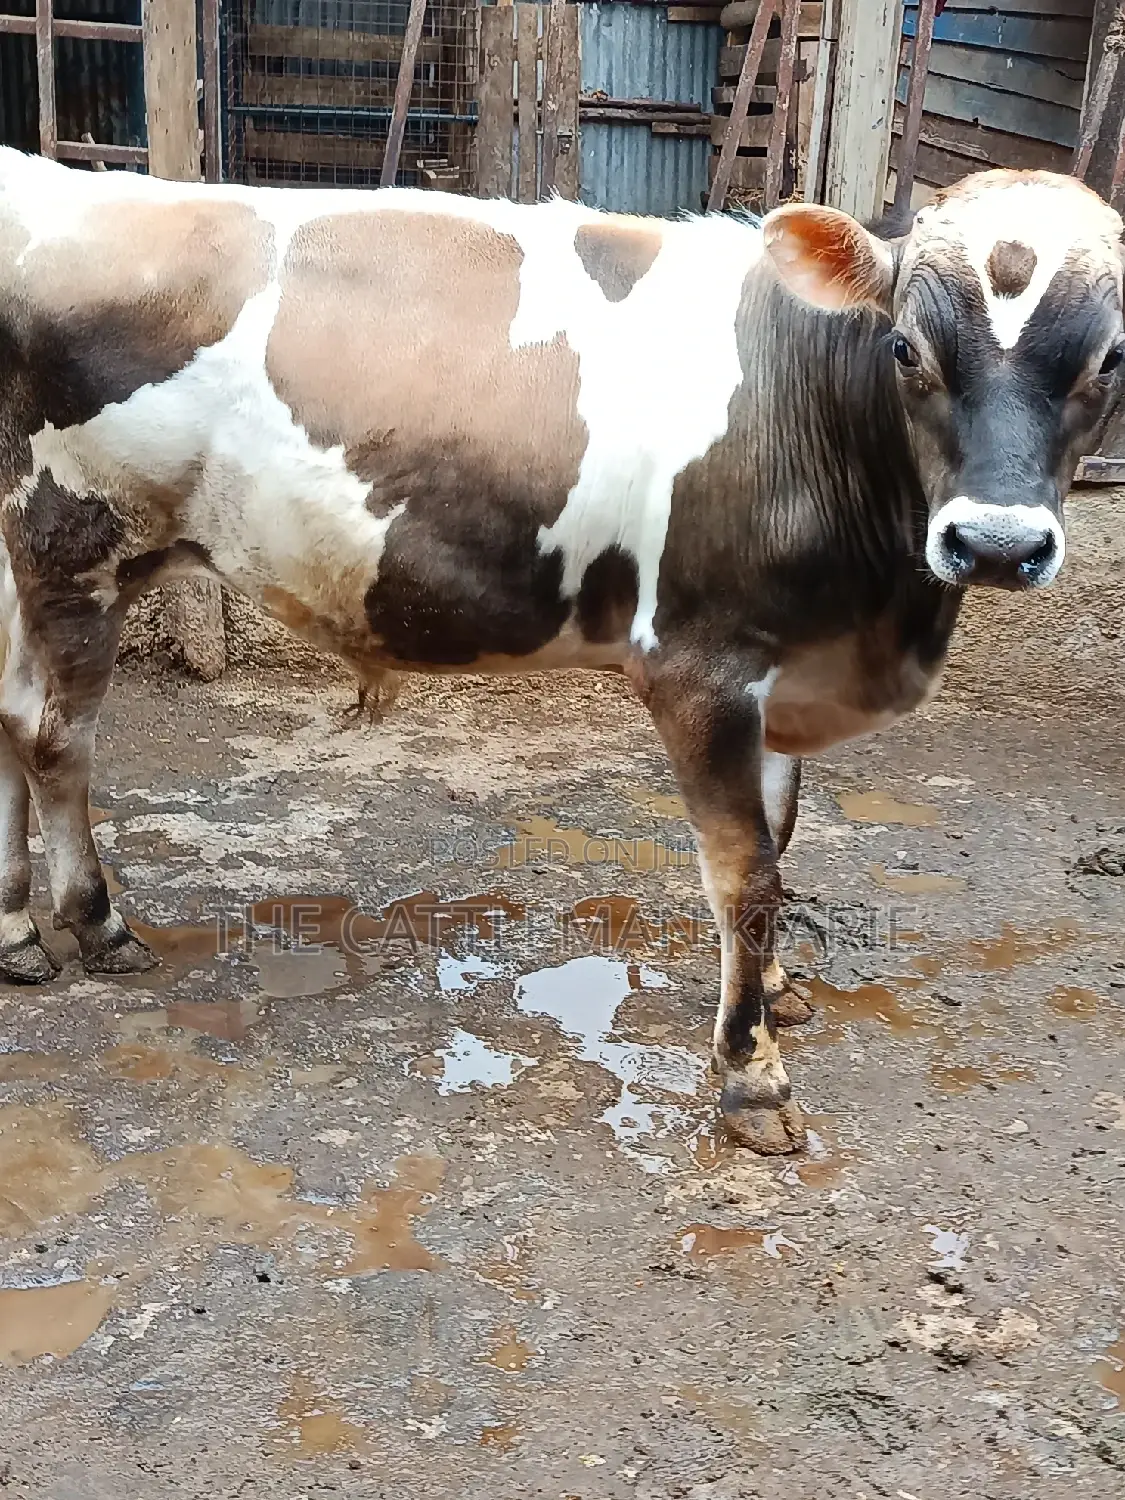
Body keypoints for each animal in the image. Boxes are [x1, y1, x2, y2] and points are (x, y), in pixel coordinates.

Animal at [1, 150, 1121, 1155]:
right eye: (905, 349)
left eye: (1110, 360)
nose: (997, 544)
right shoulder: (700, 668)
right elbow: (745, 875)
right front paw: (751, 1079)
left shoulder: (781, 661)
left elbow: (784, 832)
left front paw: (777, 990)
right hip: (74, 539)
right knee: (58, 744)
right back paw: (95, 925)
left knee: (10, 724)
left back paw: (17, 936)